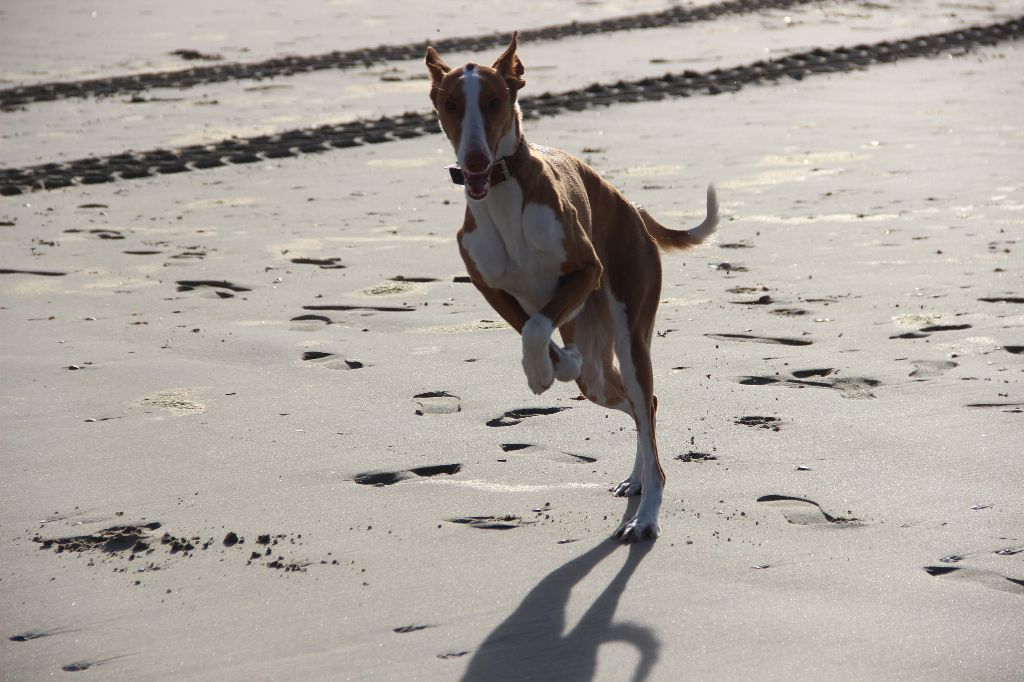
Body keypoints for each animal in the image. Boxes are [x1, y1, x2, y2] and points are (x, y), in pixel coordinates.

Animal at [423, 33, 720, 540]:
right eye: (450, 104)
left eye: (494, 101)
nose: (475, 160)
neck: (502, 197)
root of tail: (634, 210)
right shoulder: (493, 290)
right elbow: (534, 330)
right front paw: (551, 366)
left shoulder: (587, 270)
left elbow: (537, 327)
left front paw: (543, 372)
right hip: (596, 366)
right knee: (639, 404)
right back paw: (636, 481)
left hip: (630, 331)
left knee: (646, 406)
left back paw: (646, 514)